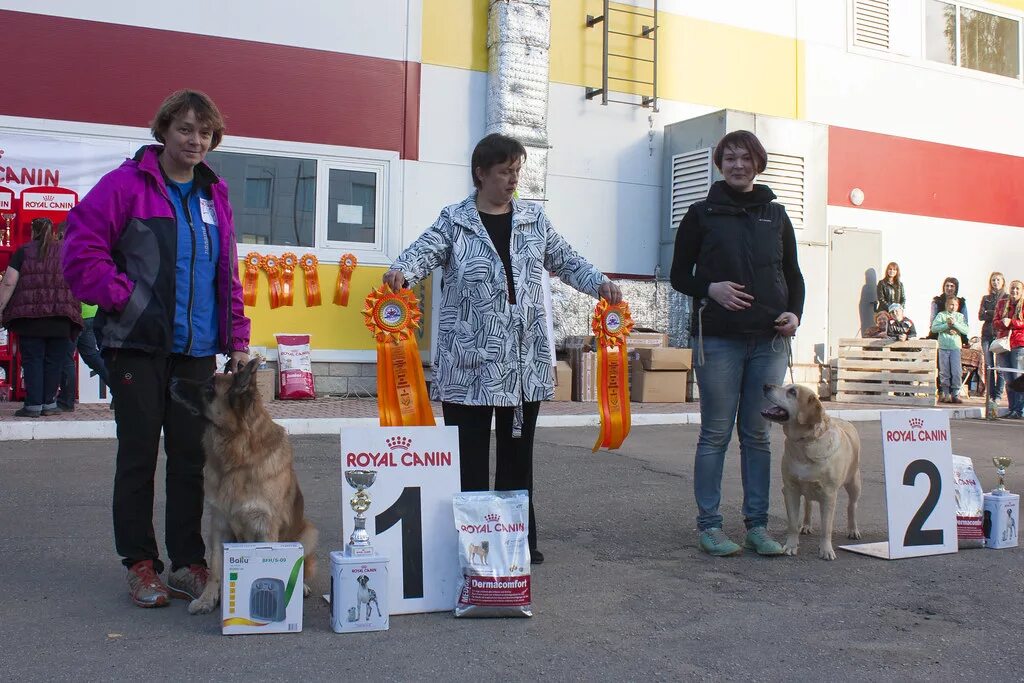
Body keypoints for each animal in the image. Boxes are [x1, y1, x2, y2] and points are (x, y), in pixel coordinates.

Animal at [765, 385, 860, 561]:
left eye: (792, 392)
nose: (766, 386)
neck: (804, 443)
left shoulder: (829, 494)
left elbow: (826, 527)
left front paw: (826, 550)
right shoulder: (790, 489)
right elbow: (792, 523)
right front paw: (790, 546)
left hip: (854, 483)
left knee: (852, 506)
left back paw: (853, 530)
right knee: (808, 503)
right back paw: (806, 525)